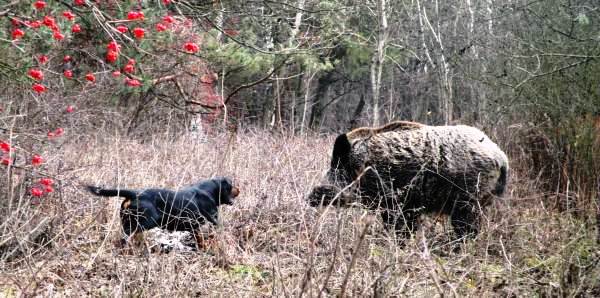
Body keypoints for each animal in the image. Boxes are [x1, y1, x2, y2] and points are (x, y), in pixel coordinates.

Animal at [86, 176, 239, 248]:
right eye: (231, 185)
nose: (239, 189)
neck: (208, 191)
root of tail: (135, 193)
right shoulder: (213, 220)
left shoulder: (194, 227)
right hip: (146, 221)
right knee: (128, 235)